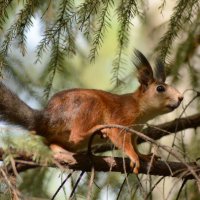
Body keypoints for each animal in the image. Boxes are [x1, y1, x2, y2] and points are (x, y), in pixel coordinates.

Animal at [0, 50, 183, 173]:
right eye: (160, 88)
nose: (181, 97)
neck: (139, 108)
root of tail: (45, 119)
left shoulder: (134, 132)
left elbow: (134, 144)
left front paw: (143, 156)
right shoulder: (120, 119)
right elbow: (120, 139)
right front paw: (133, 156)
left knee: (52, 143)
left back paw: (60, 150)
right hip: (89, 106)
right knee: (76, 135)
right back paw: (95, 130)